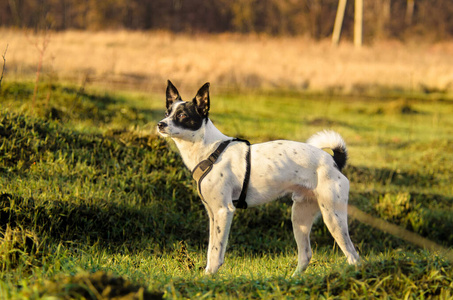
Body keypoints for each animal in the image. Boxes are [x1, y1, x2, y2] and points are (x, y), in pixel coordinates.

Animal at [157, 81, 358, 276]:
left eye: (182, 115)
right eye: (167, 113)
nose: (160, 124)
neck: (211, 150)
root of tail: (334, 161)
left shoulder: (223, 211)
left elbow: (216, 252)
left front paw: (209, 277)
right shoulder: (212, 213)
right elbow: (210, 250)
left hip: (333, 217)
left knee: (353, 256)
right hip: (300, 216)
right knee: (306, 255)